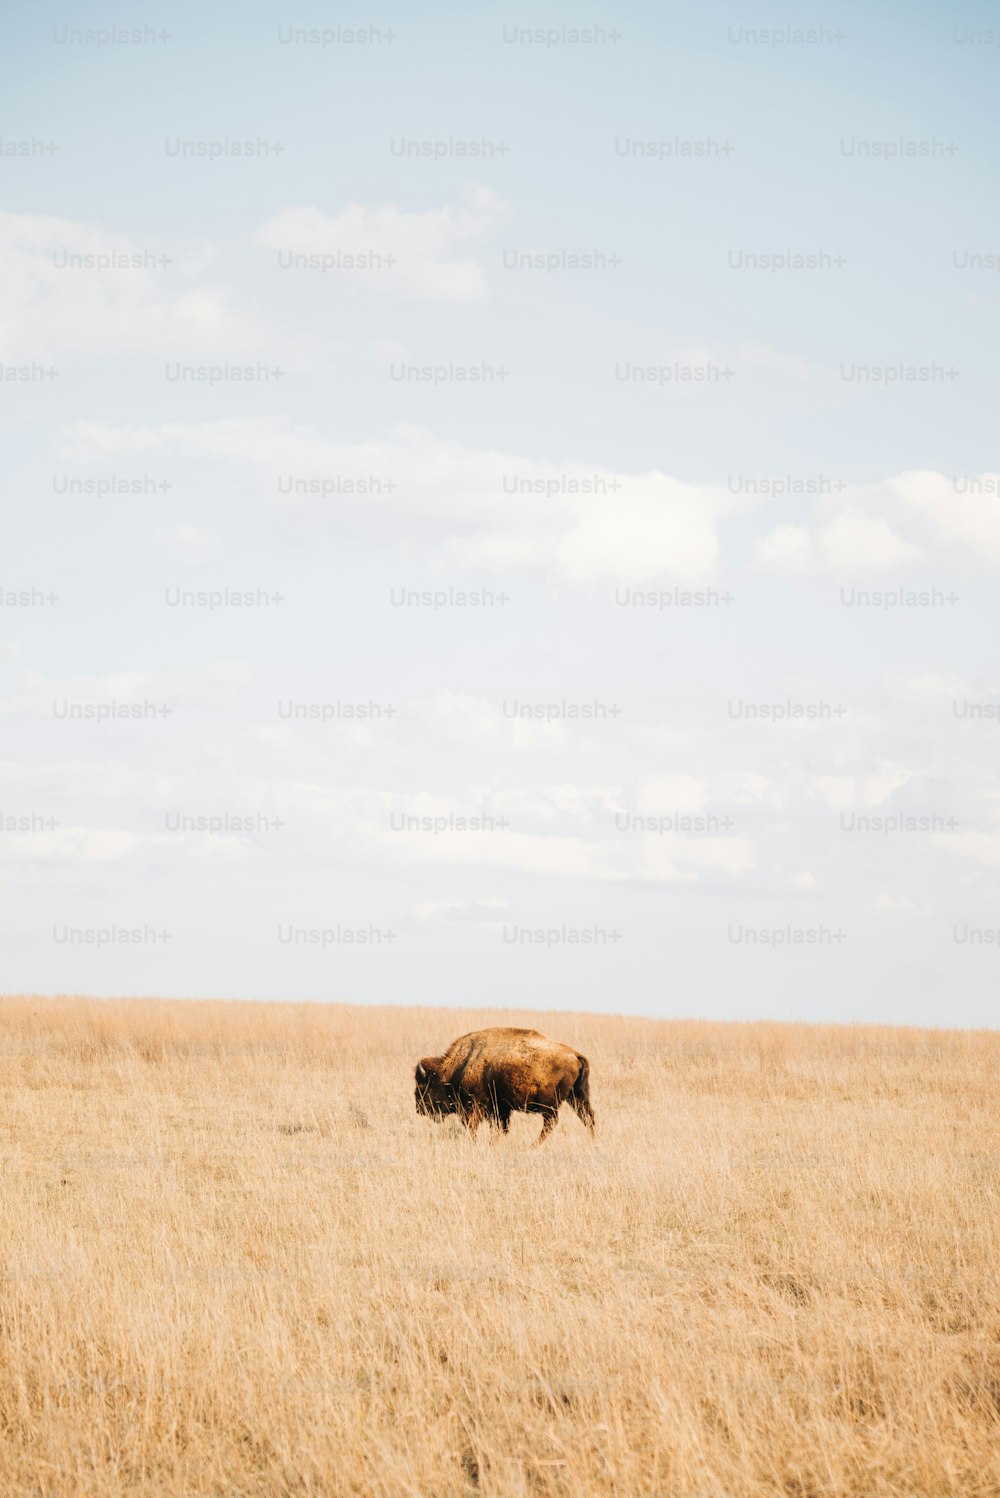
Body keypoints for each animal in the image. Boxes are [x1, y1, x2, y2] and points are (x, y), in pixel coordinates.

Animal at [413, 1030, 592, 1144]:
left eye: (424, 1086)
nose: (419, 1109)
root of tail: (575, 1054)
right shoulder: (500, 1109)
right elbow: (500, 1128)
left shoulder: (476, 1105)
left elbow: (472, 1126)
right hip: (576, 1097)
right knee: (587, 1117)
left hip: (550, 1104)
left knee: (552, 1123)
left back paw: (532, 1146)